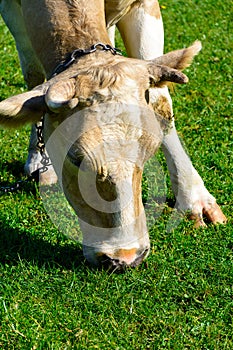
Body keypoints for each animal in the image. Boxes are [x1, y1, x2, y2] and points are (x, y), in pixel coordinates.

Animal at [0, 0, 226, 268]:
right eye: (76, 158)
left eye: (149, 151)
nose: (126, 257)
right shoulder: (11, 11)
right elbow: (33, 75)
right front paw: (39, 159)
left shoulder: (145, 7)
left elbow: (160, 100)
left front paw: (194, 198)